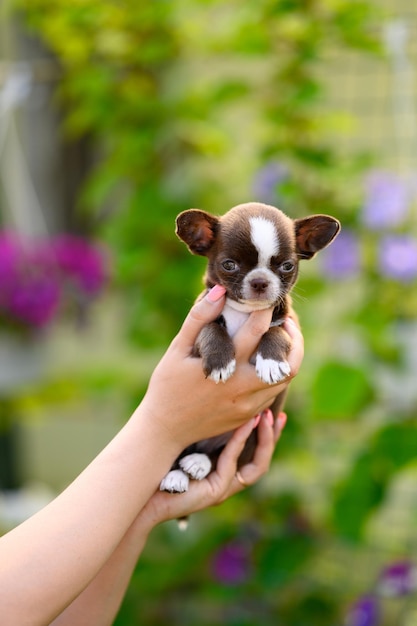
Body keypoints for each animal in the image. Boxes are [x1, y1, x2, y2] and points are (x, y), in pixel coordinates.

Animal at [159, 202, 338, 494]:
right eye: (229, 265)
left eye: (287, 266)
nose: (260, 281)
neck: (244, 313)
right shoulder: (198, 328)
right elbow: (212, 330)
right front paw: (220, 362)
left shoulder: (286, 323)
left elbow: (274, 333)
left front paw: (271, 363)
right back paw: (177, 475)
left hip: (250, 437)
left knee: (221, 455)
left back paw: (197, 463)